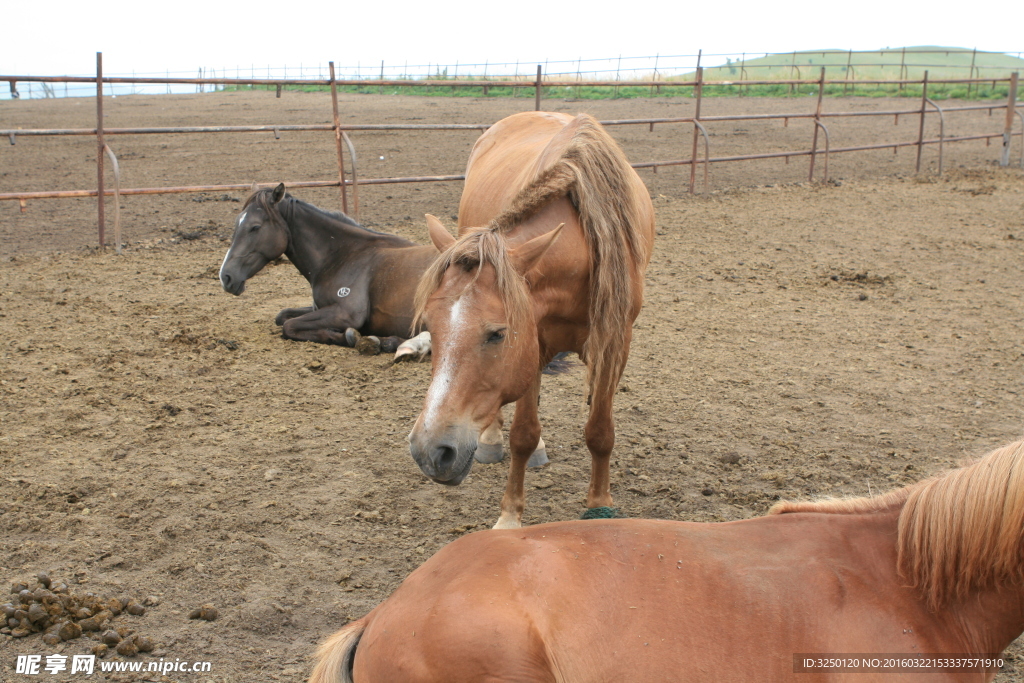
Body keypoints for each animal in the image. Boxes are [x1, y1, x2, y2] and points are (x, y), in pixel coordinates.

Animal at [219, 184, 436, 344]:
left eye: (255, 227)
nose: (225, 277)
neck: (344, 255)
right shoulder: (319, 307)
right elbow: (283, 316)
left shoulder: (346, 313)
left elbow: (289, 326)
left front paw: (350, 337)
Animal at [407, 111, 655, 528]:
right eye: (430, 327)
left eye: (497, 334)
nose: (430, 452)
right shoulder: (534, 339)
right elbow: (522, 434)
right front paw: (509, 517)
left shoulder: (615, 342)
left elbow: (600, 431)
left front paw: (599, 505)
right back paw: (491, 439)